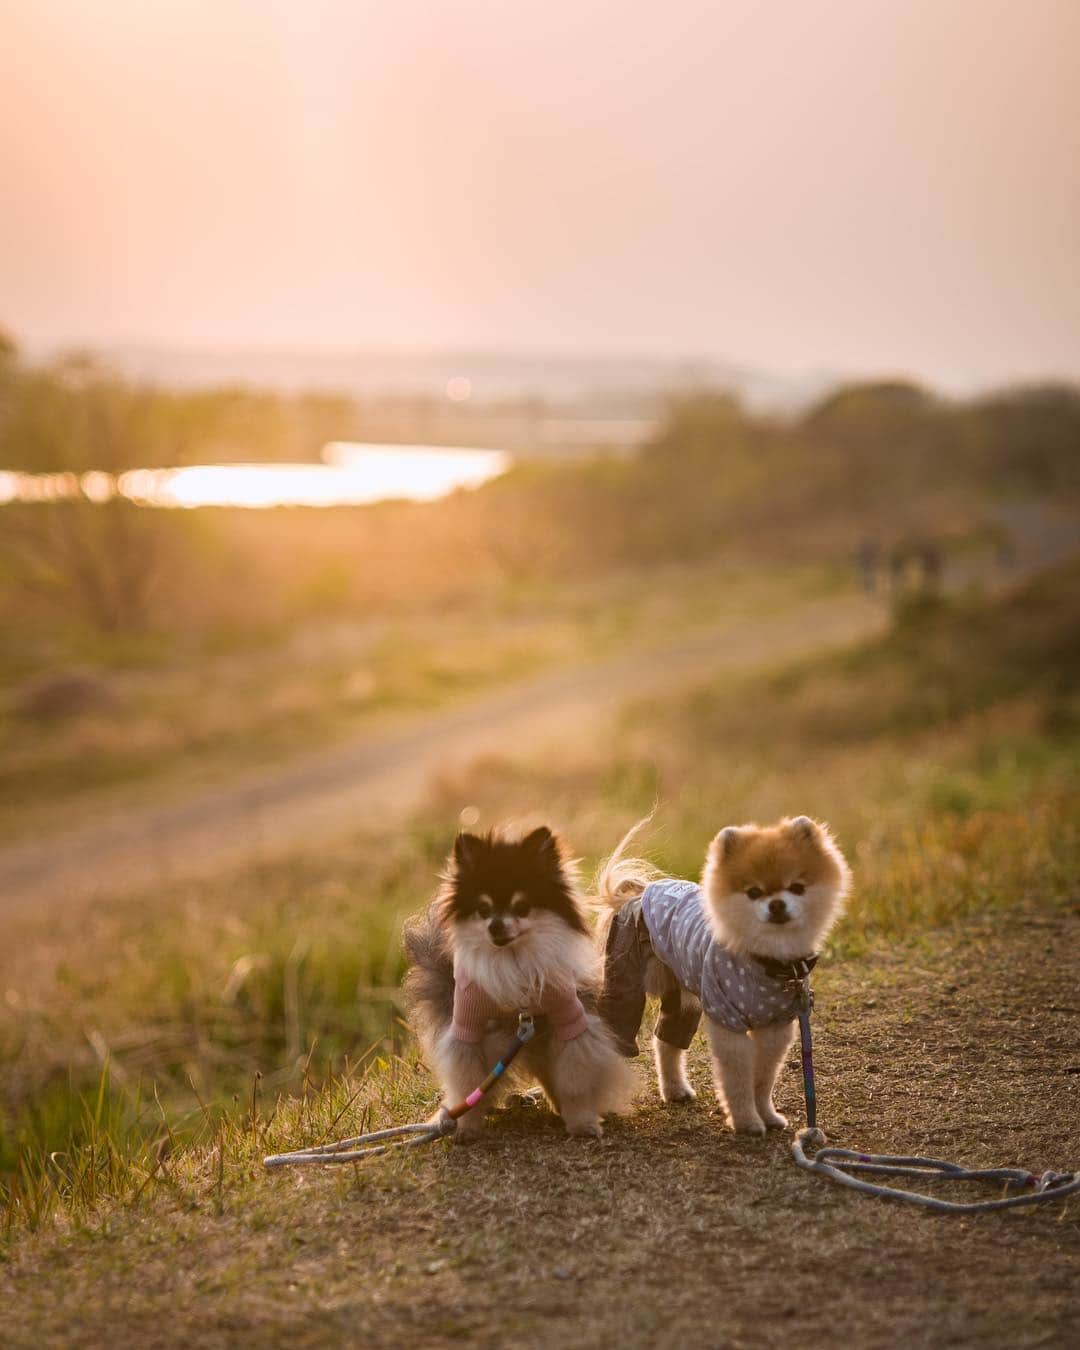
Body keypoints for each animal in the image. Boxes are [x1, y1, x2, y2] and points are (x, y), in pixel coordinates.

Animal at [407, 820, 642, 1139]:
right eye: (483, 910)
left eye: (521, 908)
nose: (495, 926)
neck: (513, 962)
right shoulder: (468, 1026)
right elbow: (467, 1080)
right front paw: (467, 1127)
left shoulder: (567, 1018)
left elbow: (574, 1080)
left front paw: (582, 1122)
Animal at [594, 815, 847, 1134]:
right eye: (753, 893)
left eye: (797, 887)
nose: (776, 904)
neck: (767, 960)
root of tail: (639, 893)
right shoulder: (728, 1022)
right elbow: (738, 1080)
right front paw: (747, 1121)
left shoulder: (776, 1027)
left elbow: (763, 1079)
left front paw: (768, 1115)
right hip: (625, 981)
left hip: (682, 996)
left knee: (665, 1041)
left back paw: (675, 1089)